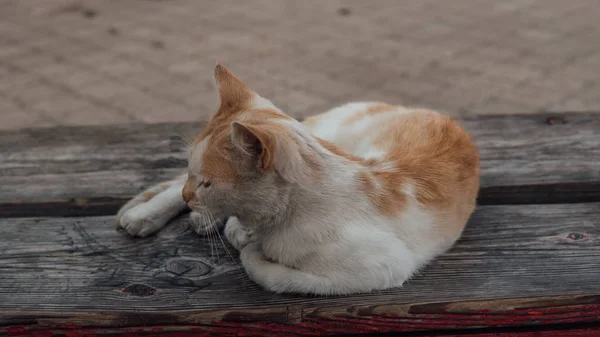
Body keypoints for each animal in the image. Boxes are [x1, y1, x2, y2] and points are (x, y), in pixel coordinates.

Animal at [117, 63, 480, 294]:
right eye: (197, 175)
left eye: (206, 183)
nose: (189, 194)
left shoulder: (380, 269)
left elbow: (277, 276)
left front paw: (250, 245)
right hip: (330, 133)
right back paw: (145, 215)